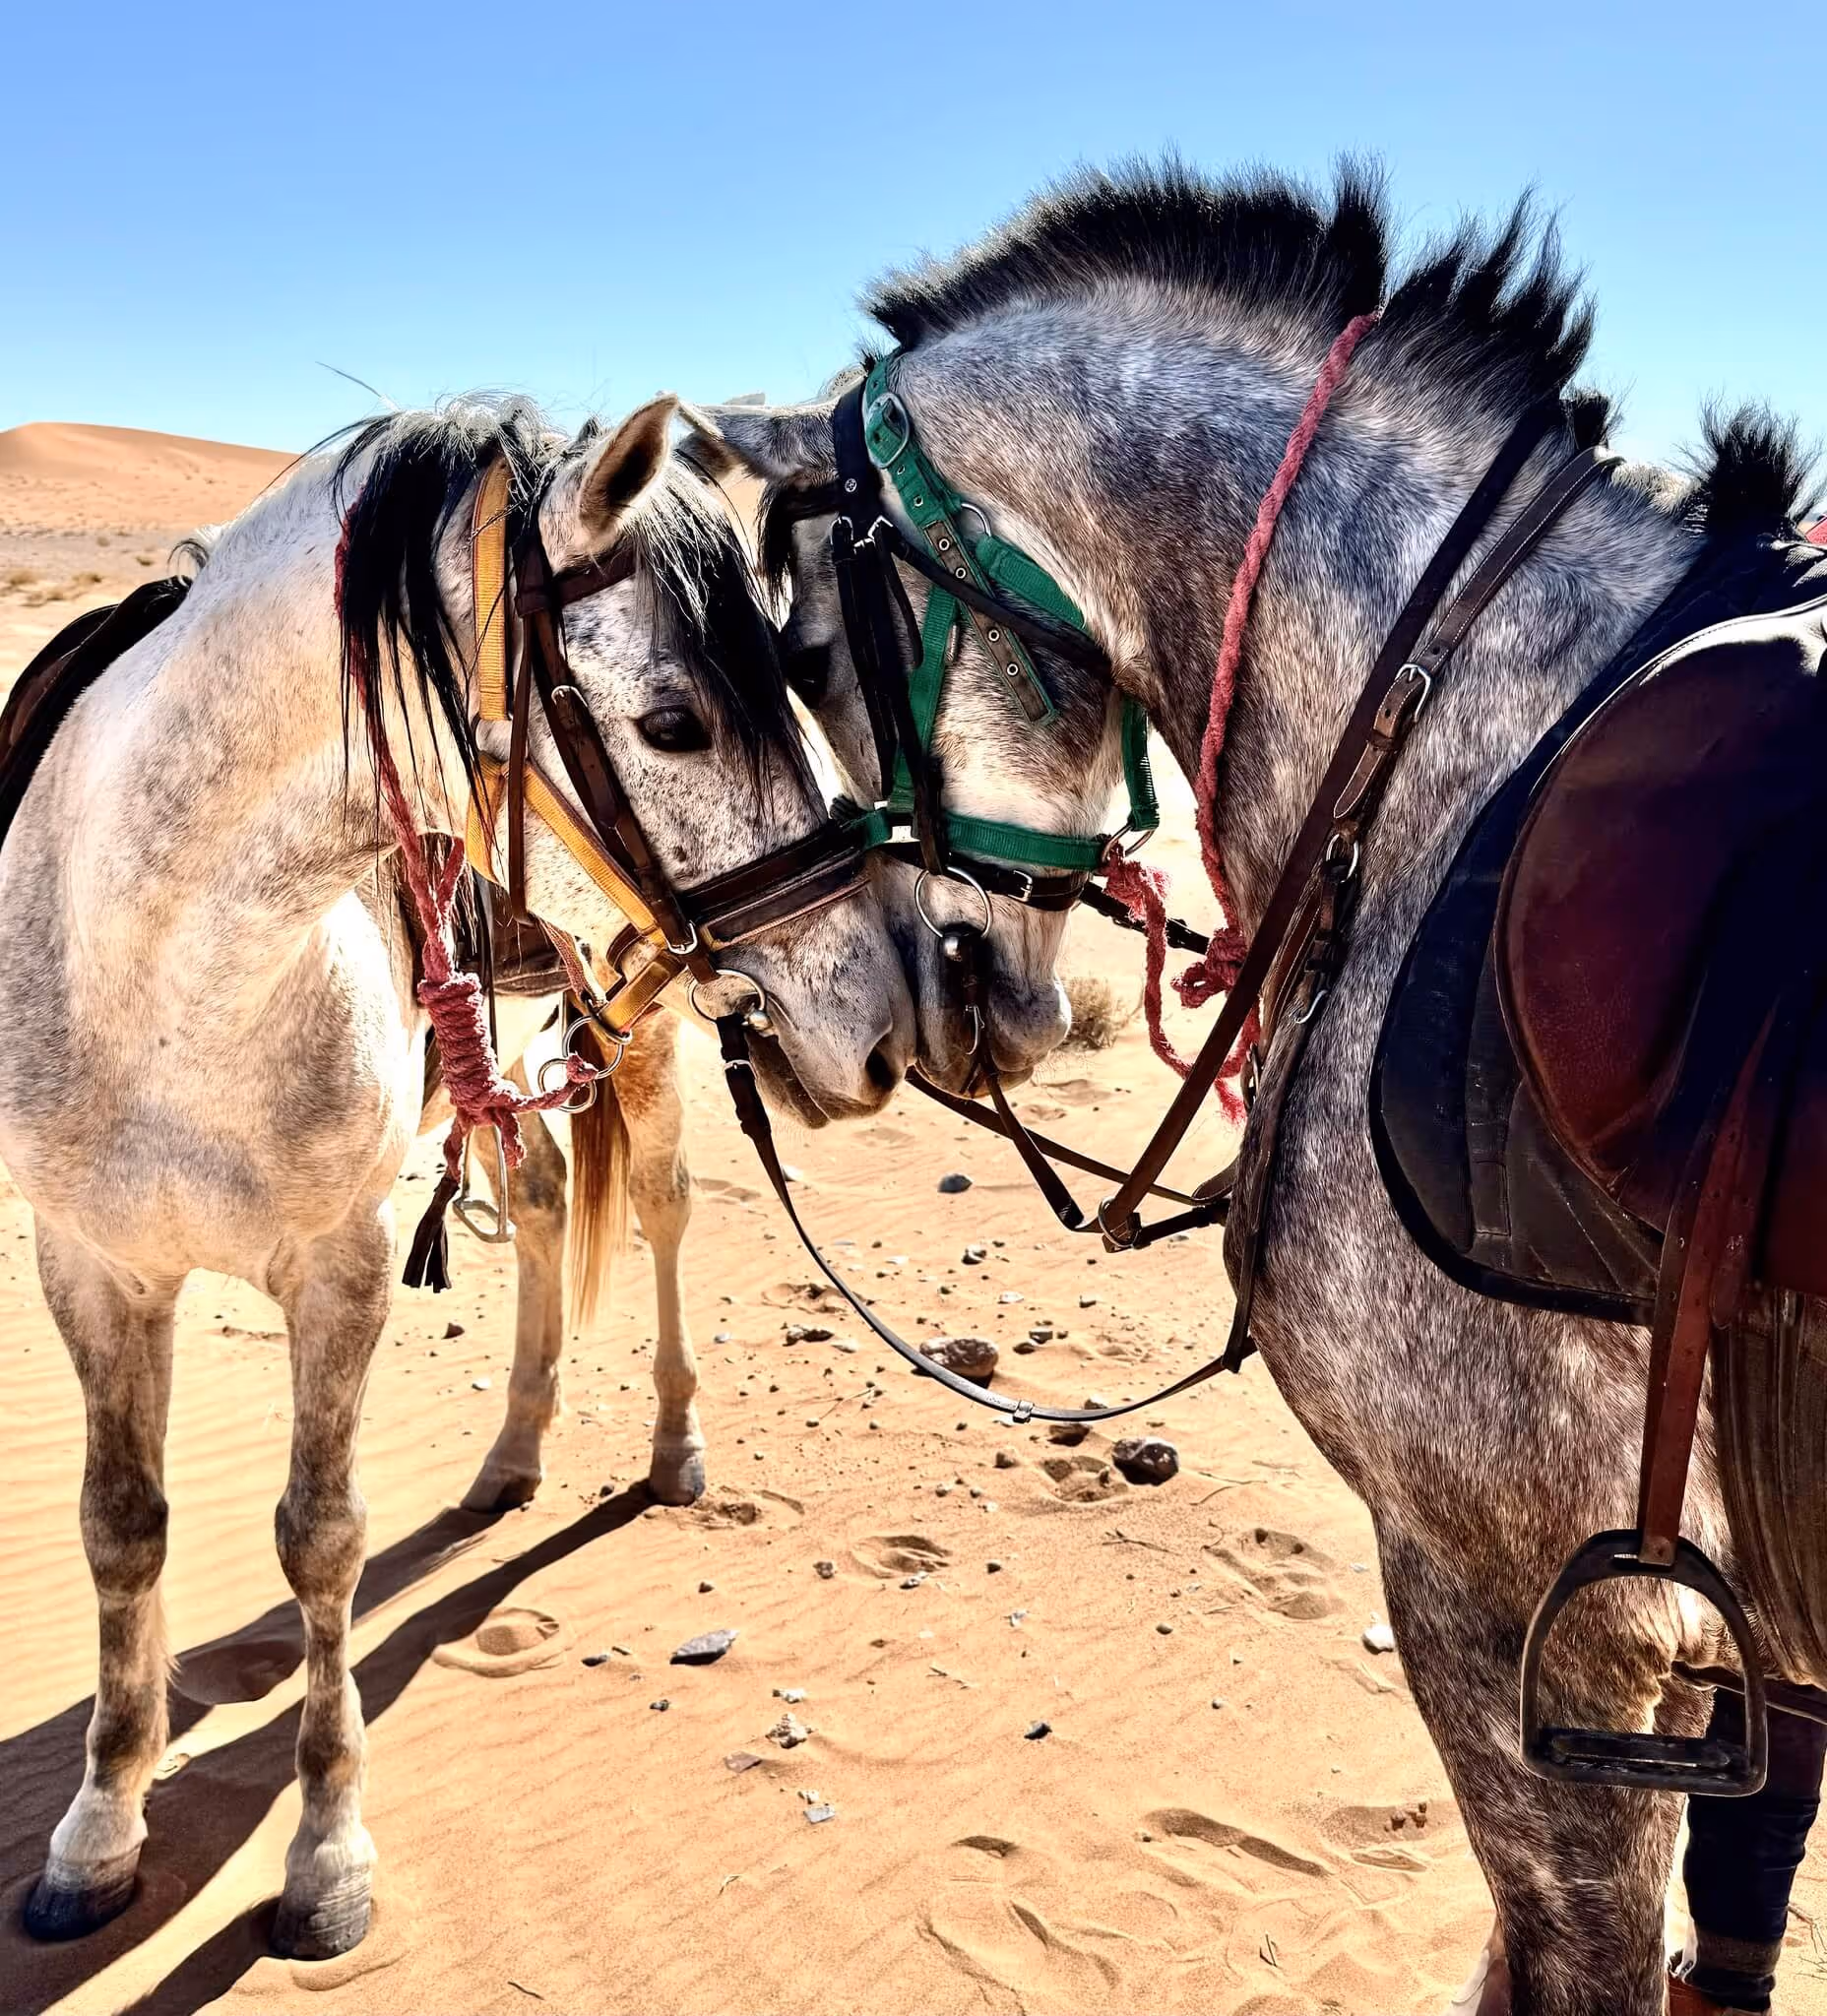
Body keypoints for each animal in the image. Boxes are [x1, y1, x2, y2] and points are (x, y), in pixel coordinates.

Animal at [0, 392, 913, 1958]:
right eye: (674, 721)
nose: (876, 1020)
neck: (165, 976)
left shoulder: (343, 1266)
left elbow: (321, 1542)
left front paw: (325, 1858)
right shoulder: (91, 1264)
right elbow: (122, 1534)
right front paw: (99, 1826)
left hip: (637, 1016)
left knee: (658, 1210)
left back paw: (671, 1447)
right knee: (540, 1200)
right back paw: (510, 1456)